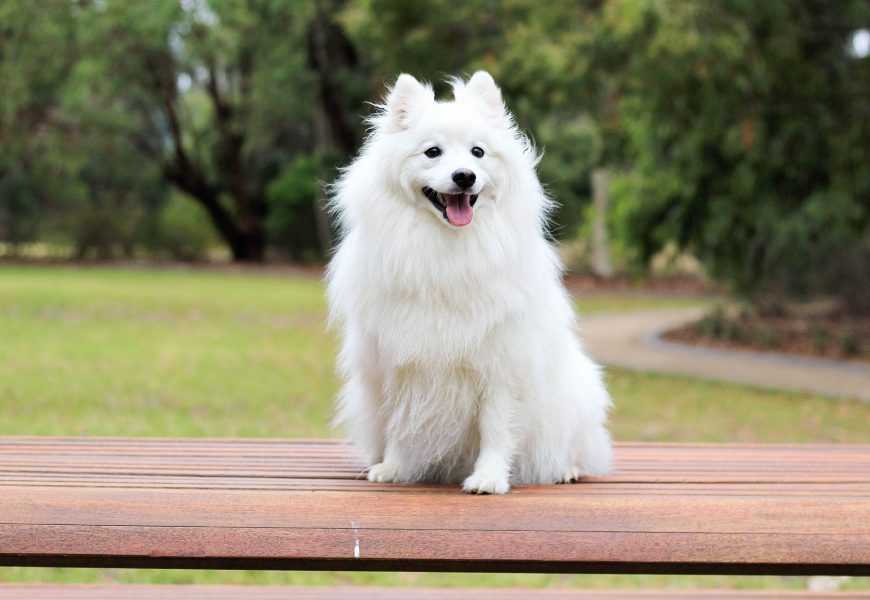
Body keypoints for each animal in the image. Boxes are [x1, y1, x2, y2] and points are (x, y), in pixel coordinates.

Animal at [326, 71, 612, 492]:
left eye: (478, 152)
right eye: (432, 152)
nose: (465, 176)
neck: (449, 249)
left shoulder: (501, 366)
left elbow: (495, 428)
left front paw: (489, 477)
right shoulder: (398, 363)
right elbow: (401, 424)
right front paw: (394, 467)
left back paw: (566, 469)